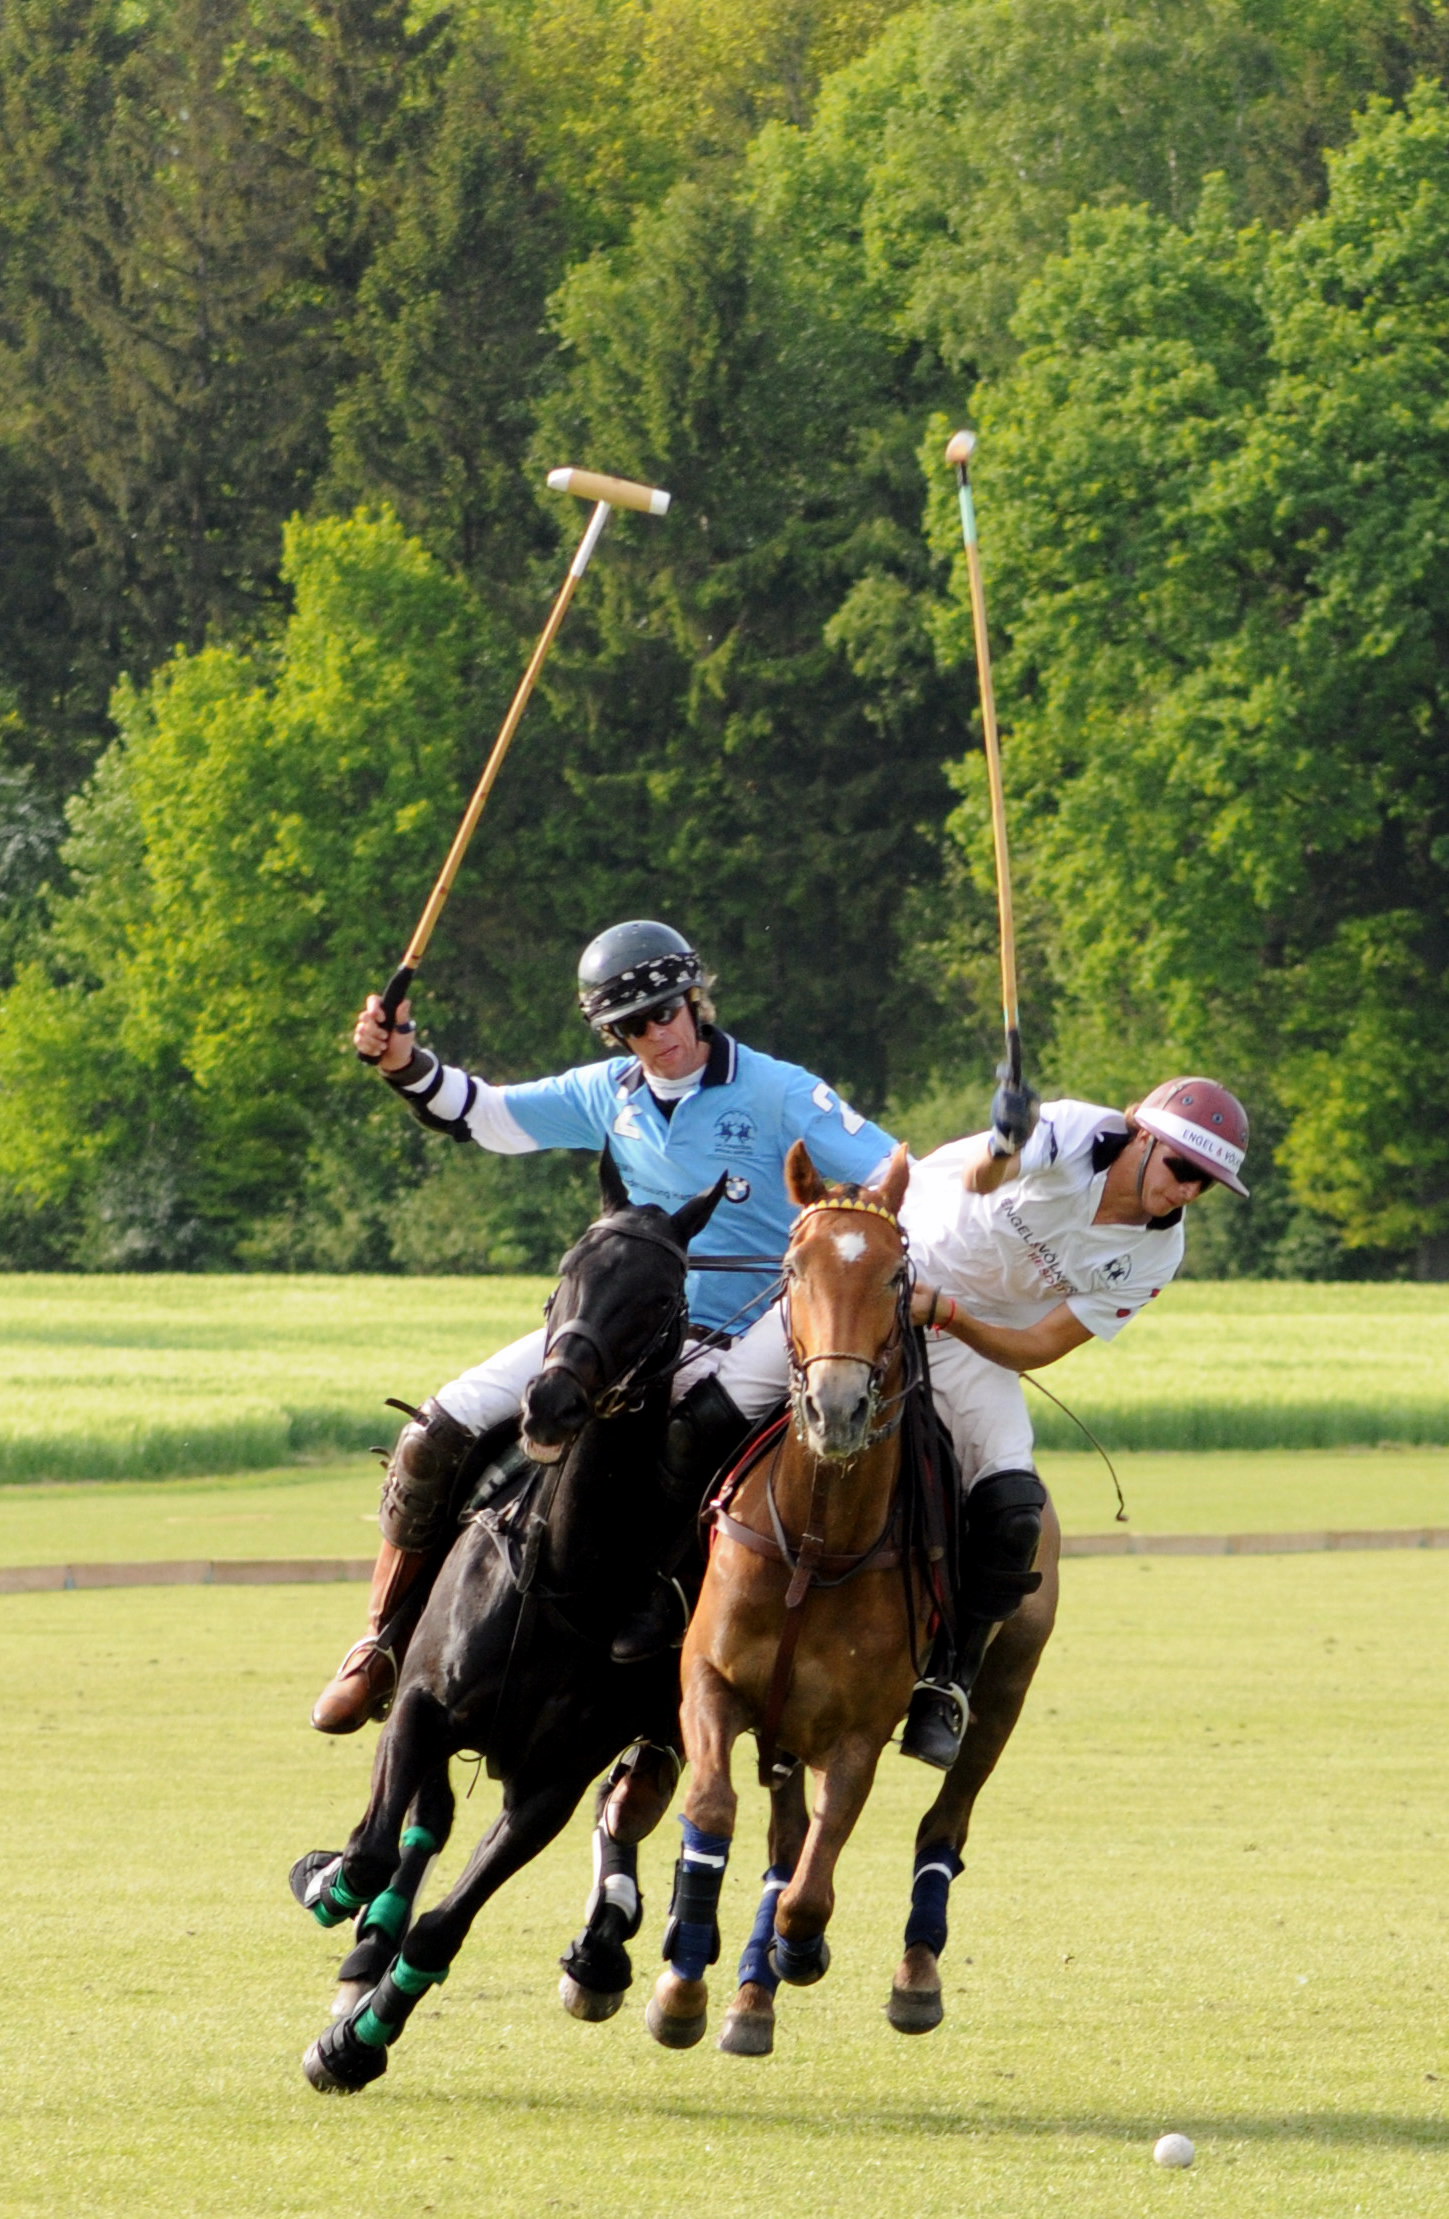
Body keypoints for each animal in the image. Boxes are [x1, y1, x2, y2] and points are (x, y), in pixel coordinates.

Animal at [290, 1162, 718, 2094]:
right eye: (567, 1268)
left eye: (662, 1299)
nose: (549, 1402)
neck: (562, 1569)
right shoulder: (423, 1701)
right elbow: (376, 1849)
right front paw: (330, 1885)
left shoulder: (546, 1786)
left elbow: (444, 1924)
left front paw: (355, 2044)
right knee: (422, 1816)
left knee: (625, 1801)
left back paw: (595, 1952)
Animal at [647, 1153, 936, 2050]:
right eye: (793, 1267)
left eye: (894, 1274)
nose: (834, 1407)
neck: (816, 1543)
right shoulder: (706, 1681)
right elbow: (711, 1807)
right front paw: (681, 1986)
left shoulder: (859, 1733)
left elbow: (812, 1884)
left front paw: (797, 1948)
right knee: (776, 1834)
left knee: (936, 1819)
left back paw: (901, 1979)